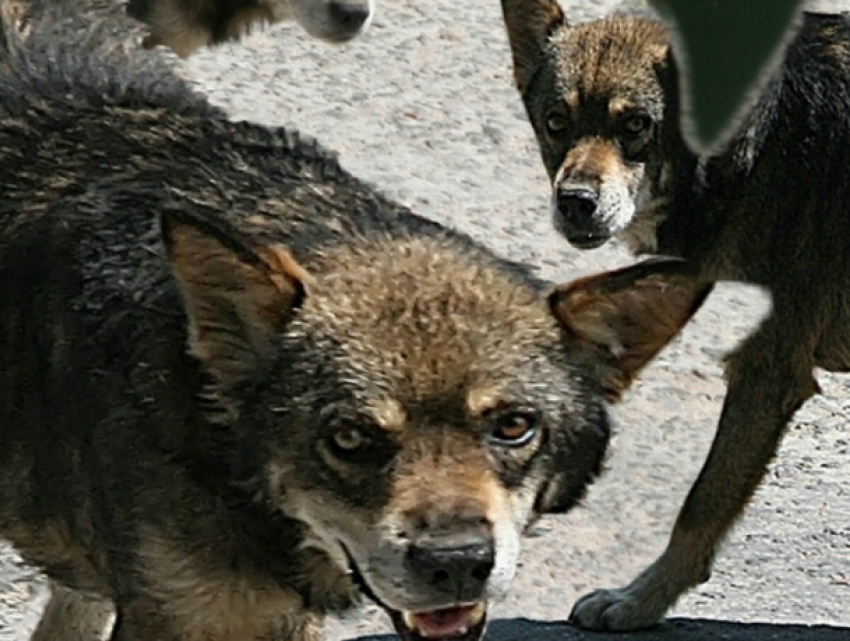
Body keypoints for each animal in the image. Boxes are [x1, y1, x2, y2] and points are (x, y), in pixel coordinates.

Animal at [500, 0, 848, 632]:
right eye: (557, 121)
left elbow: (700, 504)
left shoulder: (765, 375)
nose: (575, 202)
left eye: (636, 124)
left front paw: (642, 601)